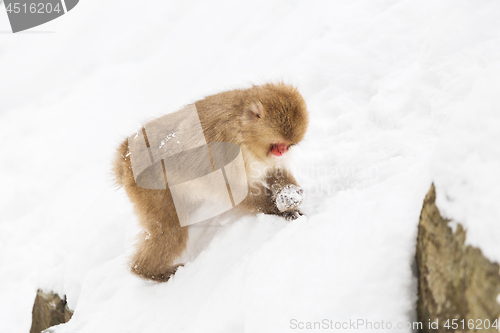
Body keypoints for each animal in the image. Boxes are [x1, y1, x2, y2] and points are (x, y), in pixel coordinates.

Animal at [113, 82, 308, 280]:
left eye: (287, 145)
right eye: (277, 144)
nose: (281, 152)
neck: (242, 128)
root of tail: (124, 156)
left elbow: (272, 170)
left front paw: (289, 196)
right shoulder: (226, 147)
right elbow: (233, 190)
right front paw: (279, 210)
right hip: (149, 187)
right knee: (170, 230)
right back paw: (150, 271)